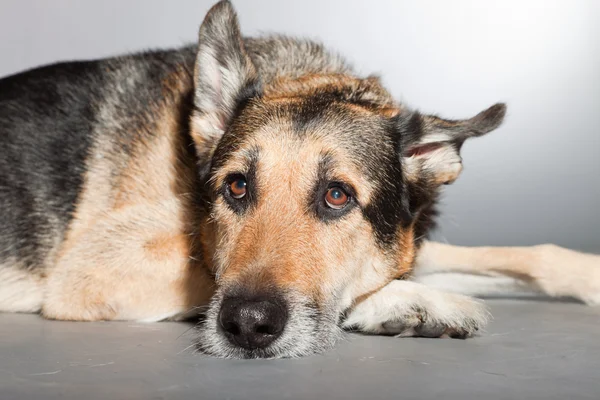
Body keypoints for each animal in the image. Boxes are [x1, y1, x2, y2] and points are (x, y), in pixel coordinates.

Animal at [1, 0, 600, 356]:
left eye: (337, 196)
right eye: (236, 187)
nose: (246, 326)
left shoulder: (407, 244)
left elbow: (526, 255)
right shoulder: (91, 271)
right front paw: (414, 303)